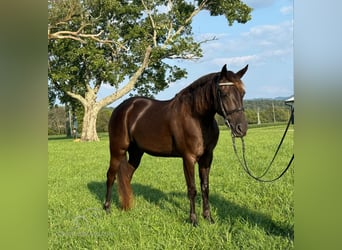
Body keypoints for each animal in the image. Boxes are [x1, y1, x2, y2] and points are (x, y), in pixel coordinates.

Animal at [103, 63, 247, 226]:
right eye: (223, 93)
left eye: (243, 93)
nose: (241, 128)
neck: (196, 117)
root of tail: (121, 108)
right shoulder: (188, 158)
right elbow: (192, 189)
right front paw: (193, 220)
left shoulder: (207, 158)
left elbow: (205, 188)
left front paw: (208, 218)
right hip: (117, 149)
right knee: (111, 176)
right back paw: (107, 208)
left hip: (136, 153)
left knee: (126, 176)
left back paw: (127, 205)